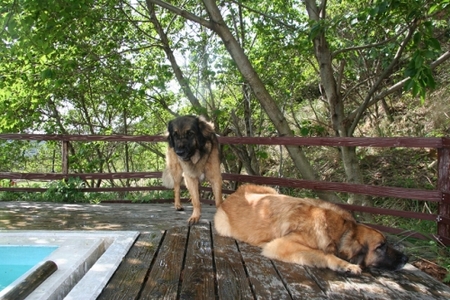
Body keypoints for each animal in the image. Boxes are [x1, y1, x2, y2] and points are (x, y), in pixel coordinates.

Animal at [214, 184, 408, 274]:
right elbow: (323, 254)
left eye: (386, 244)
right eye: (380, 247)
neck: (342, 230)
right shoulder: (281, 244)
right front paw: (345, 265)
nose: (407, 258)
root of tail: (233, 194)